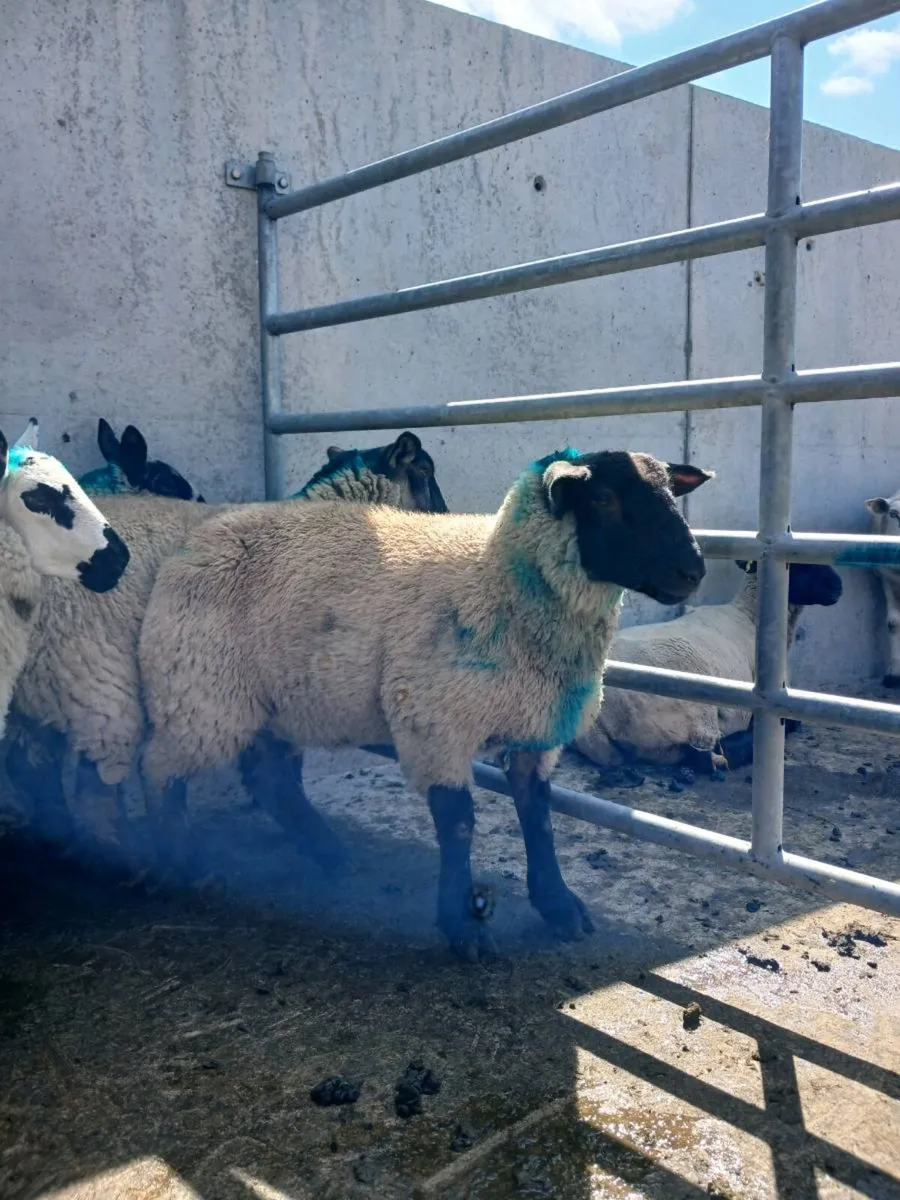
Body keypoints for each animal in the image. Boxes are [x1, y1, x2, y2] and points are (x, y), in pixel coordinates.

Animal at [137, 448, 713, 960]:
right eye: (605, 498)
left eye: (671, 492)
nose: (693, 571)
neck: (496, 580)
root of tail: (201, 535)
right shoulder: (436, 719)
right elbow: (458, 822)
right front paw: (462, 924)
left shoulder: (537, 725)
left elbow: (539, 816)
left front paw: (558, 906)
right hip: (202, 687)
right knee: (161, 769)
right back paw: (181, 861)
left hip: (274, 696)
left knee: (269, 778)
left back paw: (329, 852)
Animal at [574, 559, 843, 772]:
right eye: (797, 565)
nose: (837, 586)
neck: (750, 616)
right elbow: (793, 722)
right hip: (692, 713)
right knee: (705, 758)